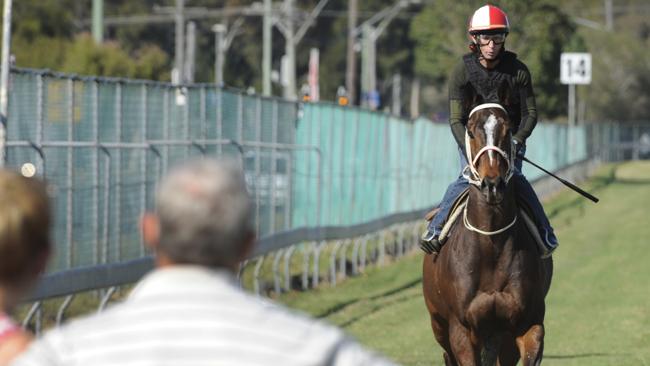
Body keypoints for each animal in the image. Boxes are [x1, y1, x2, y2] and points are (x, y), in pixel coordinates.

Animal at [420, 96, 552, 364]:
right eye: (471, 131)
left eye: (508, 130)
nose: (492, 185)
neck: (491, 243)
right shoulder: (461, 329)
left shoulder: (527, 323)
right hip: (438, 324)